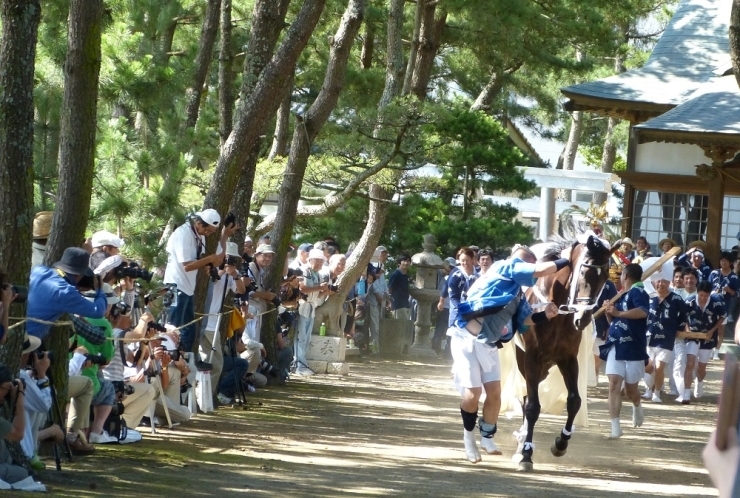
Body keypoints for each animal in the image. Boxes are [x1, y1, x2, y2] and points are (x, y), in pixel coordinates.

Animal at [512, 233, 620, 470]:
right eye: (584, 272)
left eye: (605, 276)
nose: (583, 318)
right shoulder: (532, 358)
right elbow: (532, 407)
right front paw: (526, 455)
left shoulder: (567, 358)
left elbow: (574, 401)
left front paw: (560, 443)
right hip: (524, 361)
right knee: (525, 399)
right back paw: (521, 446)